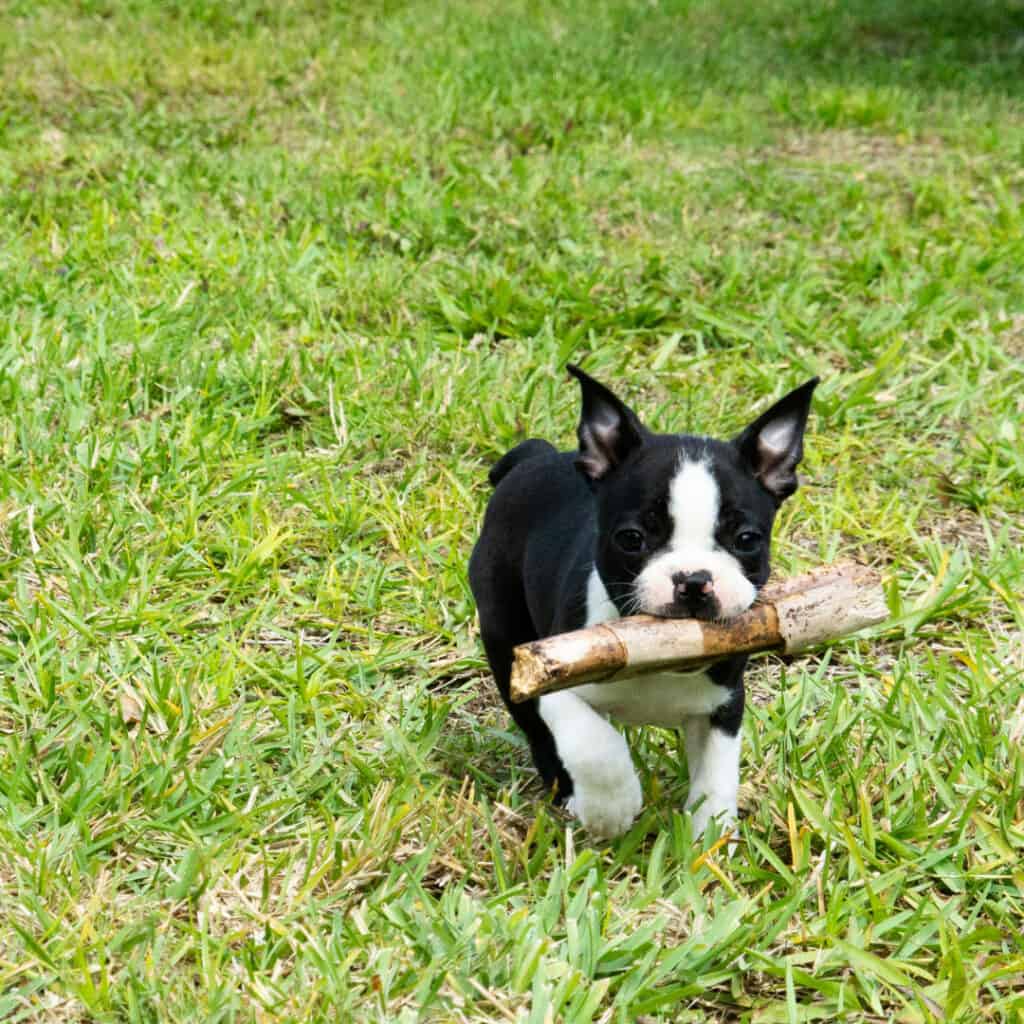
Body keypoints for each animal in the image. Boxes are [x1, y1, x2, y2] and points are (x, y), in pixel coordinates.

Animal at [468, 366, 815, 839]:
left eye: (747, 540)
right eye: (632, 539)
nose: (693, 581)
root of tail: (534, 455)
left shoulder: (724, 704)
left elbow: (717, 776)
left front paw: (708, 836)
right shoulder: (551, 677)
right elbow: (594, 743)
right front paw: (611, 807)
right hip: (505, 637)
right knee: (539, 732)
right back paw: (566, 792)